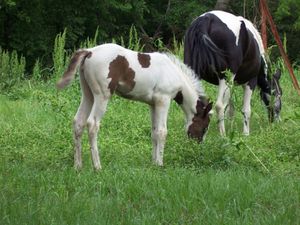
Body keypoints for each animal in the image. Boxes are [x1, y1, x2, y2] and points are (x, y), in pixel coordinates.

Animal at [56, 43, 211, 171]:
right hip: (102, 95)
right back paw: (97, 166)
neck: (173, 74)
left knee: (78, 122)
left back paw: (78, 166)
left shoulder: (153, 104)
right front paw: (160, 164)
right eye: (204, 128)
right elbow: (162, 132)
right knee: (92, 124)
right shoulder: (163, 100)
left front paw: (154, 163)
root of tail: (89, 51)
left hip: (88, 94)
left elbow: (154, 132)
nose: (197, 148)